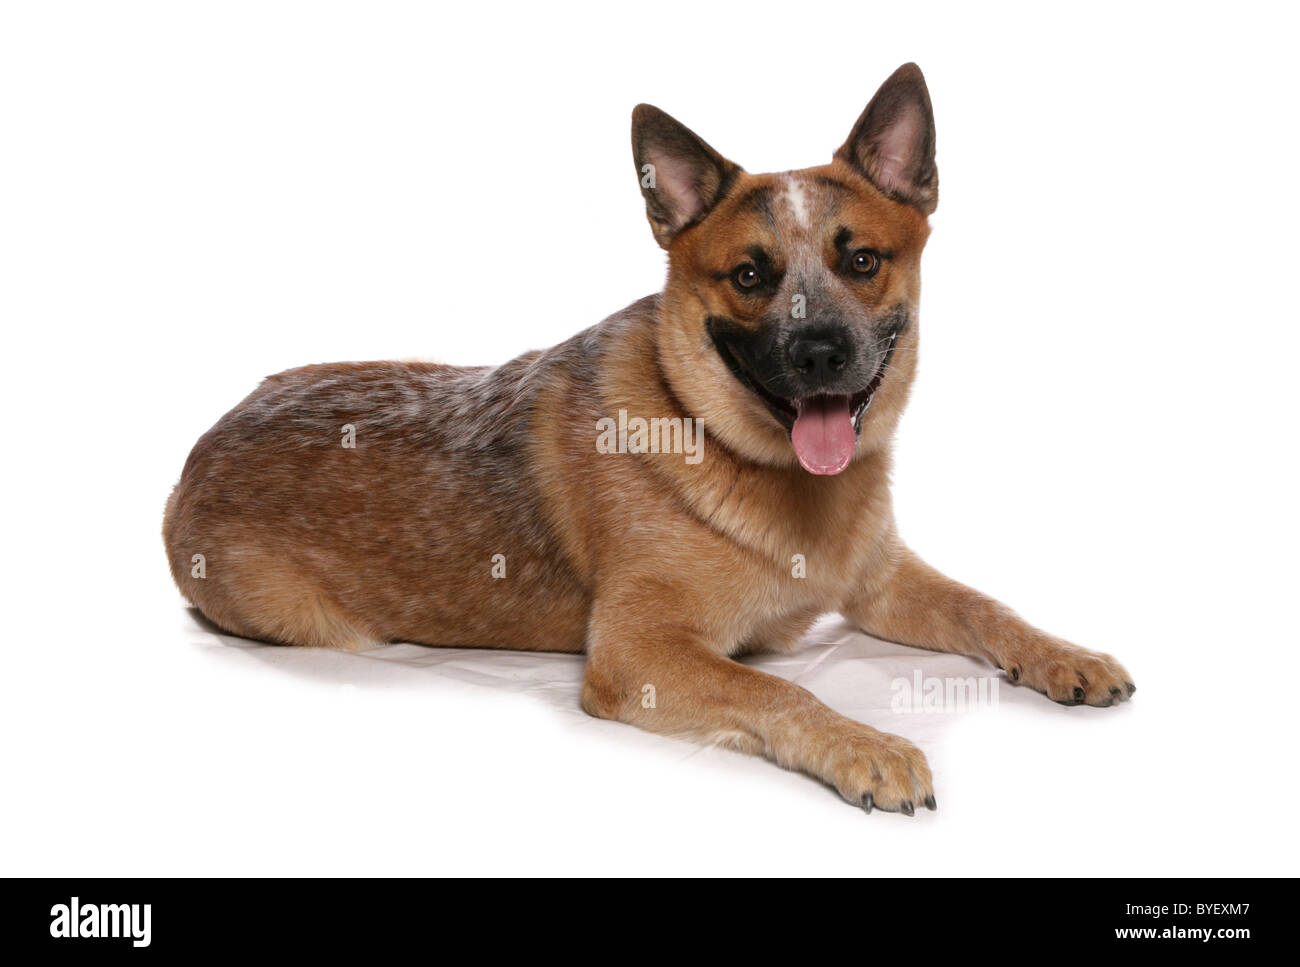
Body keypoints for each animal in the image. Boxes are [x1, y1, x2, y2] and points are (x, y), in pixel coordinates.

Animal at [167, 64, 1133, 811]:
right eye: (750, 275)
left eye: (861, 260)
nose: (820, 350)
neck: (764, 469)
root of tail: (193, 456)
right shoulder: (641, 652)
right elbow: (776, 685)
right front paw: (865, 743)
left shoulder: (882, 581)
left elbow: (987, 606)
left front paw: (1066, 655)